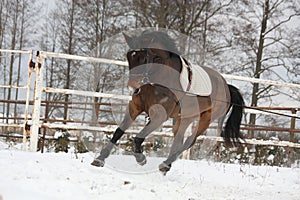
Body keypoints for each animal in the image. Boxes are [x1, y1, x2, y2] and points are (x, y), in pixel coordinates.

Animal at [91, 30, 244, 174]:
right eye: (129, 57)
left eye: (144, 57)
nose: (132, 87)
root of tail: (227, 86)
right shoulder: (135, 107)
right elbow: (119, 131)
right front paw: (100, 158)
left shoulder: (159, 116)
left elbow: (138, 138)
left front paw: (141, 159)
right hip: (185, 118)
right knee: (179, 140)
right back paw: (166, 166)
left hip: (205, 119)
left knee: (189, 141)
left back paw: (165, 164)